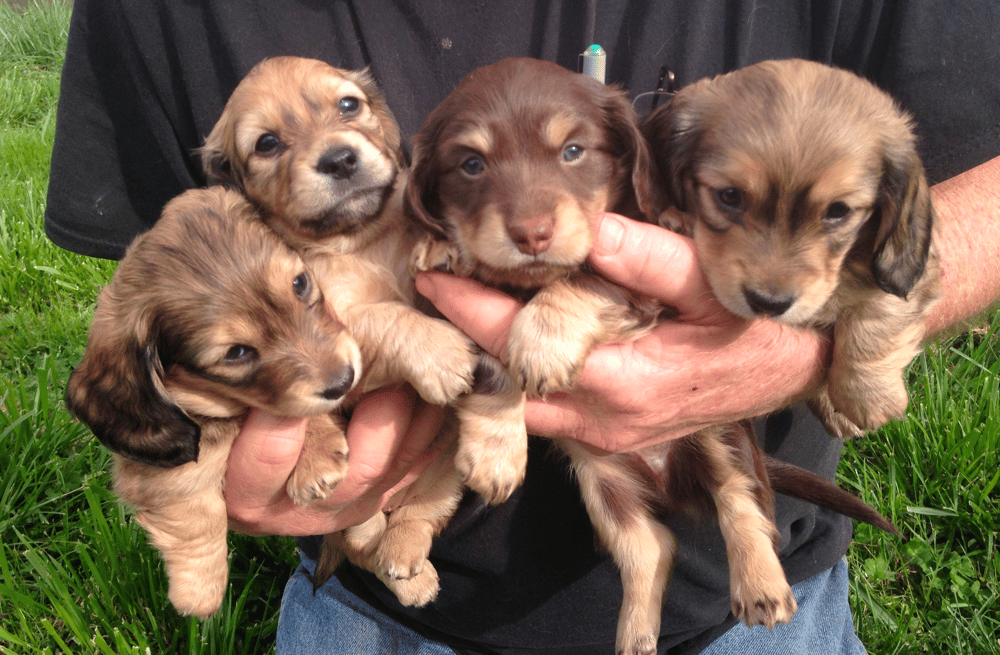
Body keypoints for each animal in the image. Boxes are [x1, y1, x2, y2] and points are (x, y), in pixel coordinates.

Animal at [66, 187, 364, 616]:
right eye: (236, 353)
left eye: (301, 283)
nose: (343, 380)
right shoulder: (161, 468)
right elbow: (196, 511)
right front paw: (200, 592)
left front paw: (316, 456)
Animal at [402, 57, 904, 655]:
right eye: (471, 165)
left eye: (573, 151)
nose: (532, 235)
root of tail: (667, 479)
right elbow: (489, 363)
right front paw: (495, 449)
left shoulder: (633, 288)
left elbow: (575, 285)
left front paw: (540, 343)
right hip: (603, 484)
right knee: (651, 545)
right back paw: (637, 634)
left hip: (718, 435)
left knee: (742, 504)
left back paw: (762, 587)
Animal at [644, 59, 940, 438]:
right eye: (730, 196)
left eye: (838, 211)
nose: (768, 303)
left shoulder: (911, 272)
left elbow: (878, 316)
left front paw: (868, 397)